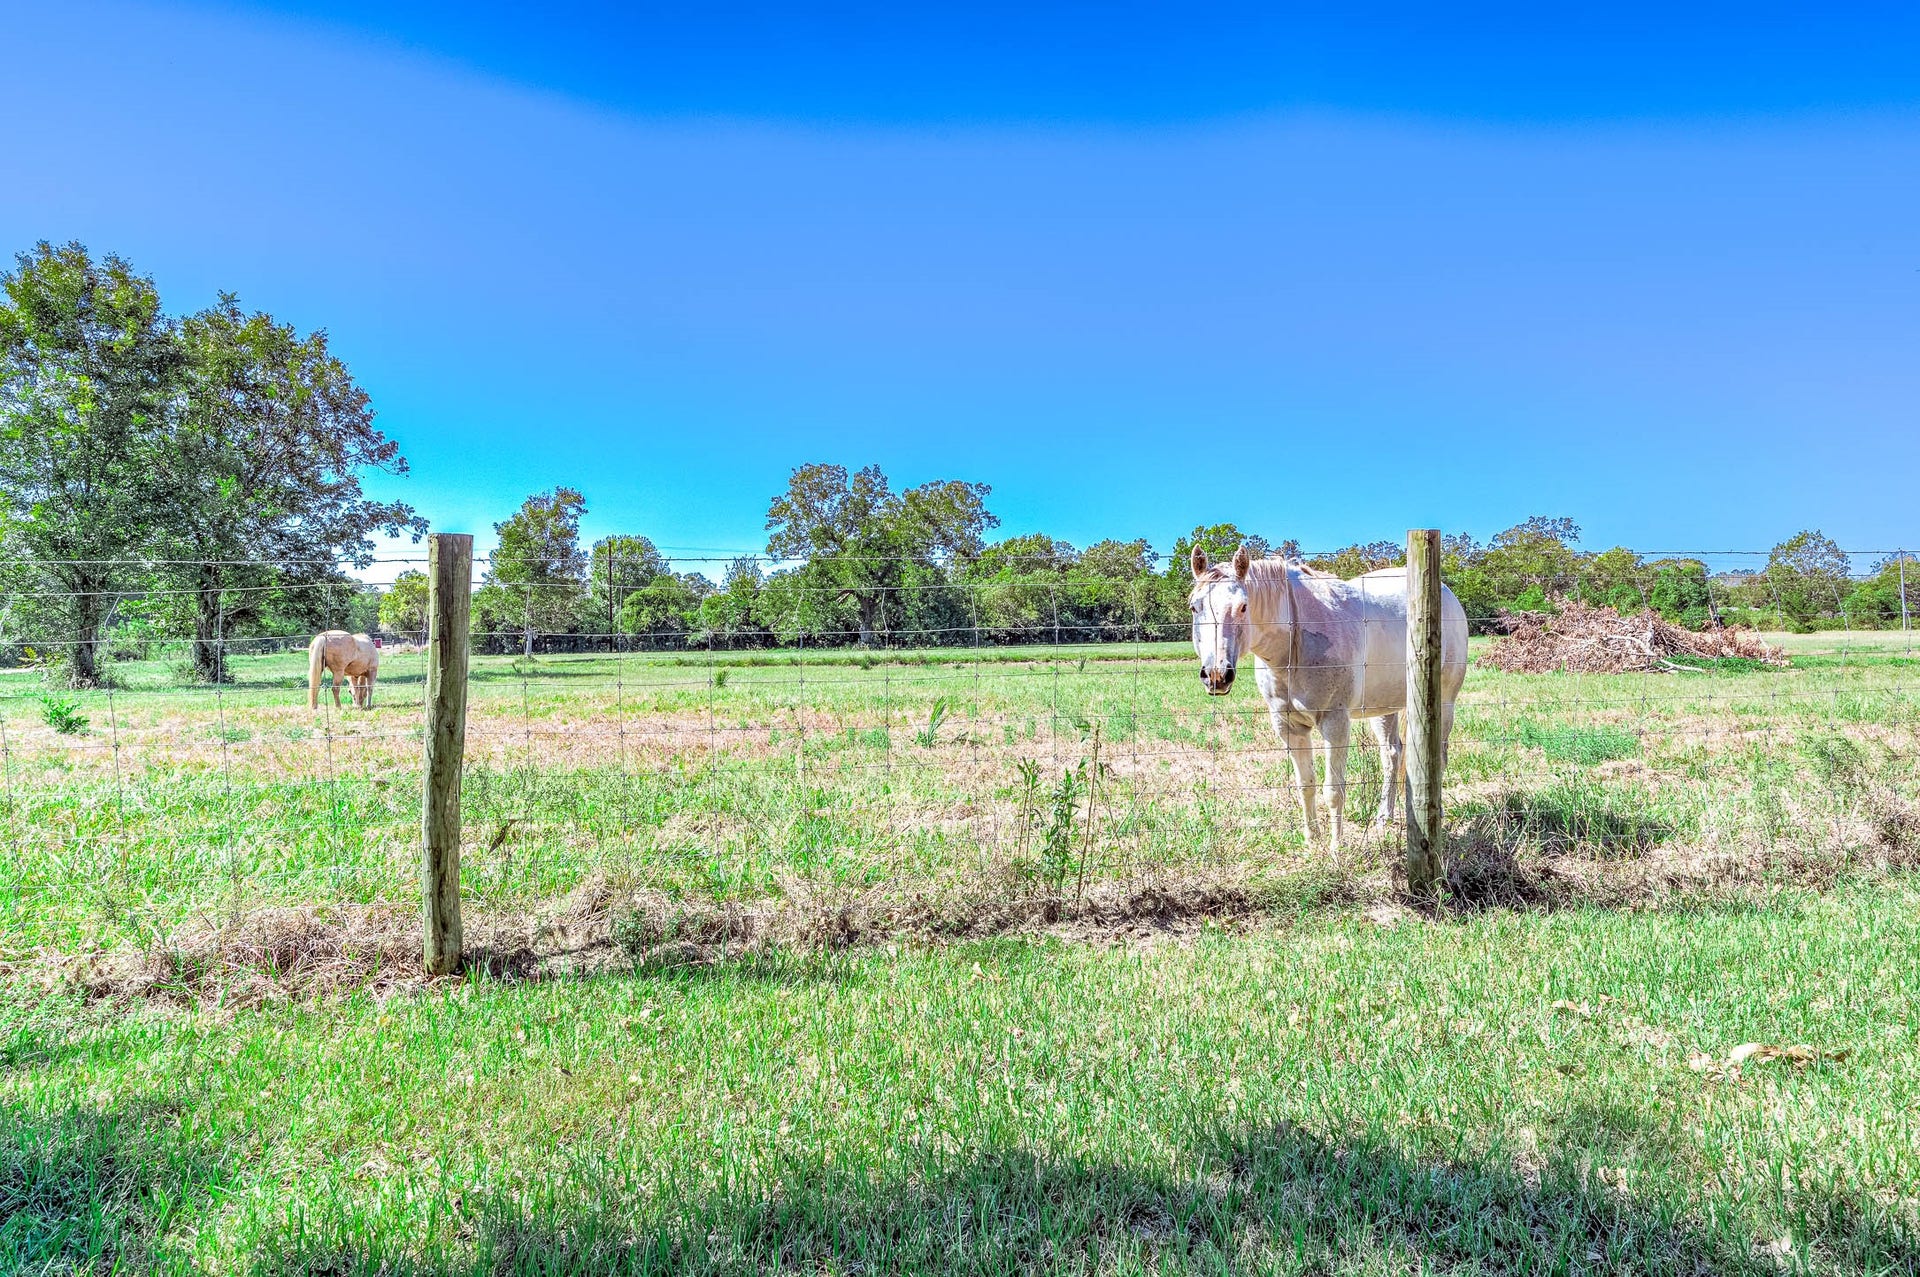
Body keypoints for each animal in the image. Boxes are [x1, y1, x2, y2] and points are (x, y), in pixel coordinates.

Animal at [1188, 545, 1467, 853]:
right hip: (1385, 708)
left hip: (1445, 704)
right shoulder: (1290, 728)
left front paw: (1336, 848)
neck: (1296, 640)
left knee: (1439, 758)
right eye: (1194, 607)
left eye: (1243, 607)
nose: (1216, 675)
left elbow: (1333, 790)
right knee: (1392, 756)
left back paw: (1436, 815)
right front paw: (1312, 841)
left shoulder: (1335, 724)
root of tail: (1448, 595)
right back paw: (1385, 816)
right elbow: (1305, 785)